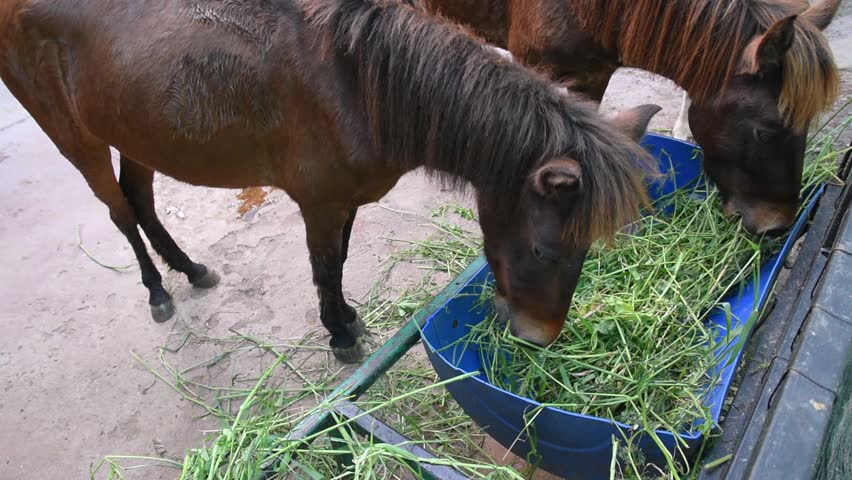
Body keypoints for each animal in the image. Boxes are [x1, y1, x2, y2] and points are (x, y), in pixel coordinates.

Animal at [0, 0, 663, 363]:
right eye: (546, 250)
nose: (539, 339)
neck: (357, 81)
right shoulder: (319, 202)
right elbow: (325, 266)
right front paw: (340, 334)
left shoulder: (346, 202)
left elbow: (339, 261)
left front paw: (346, 319)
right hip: (78, 141)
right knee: (119, 211)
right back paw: (158, 290)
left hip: (138, 132)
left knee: (140, 201)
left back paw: (189, 270)